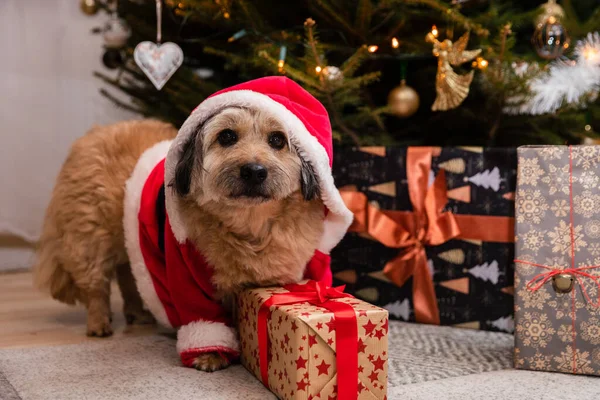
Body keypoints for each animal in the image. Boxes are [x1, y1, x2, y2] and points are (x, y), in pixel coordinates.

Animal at [35, 76, 354, 372]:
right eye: (227, 136)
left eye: (277, 140)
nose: (254, 171)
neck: (251, 227)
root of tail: (100, 131)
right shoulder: (186, 274)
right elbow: (203, 318)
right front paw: (209, 354)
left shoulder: (304, 266)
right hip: (90, 238)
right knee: (96, 285)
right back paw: (99, 323)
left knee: (127, 275)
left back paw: (138, 313)